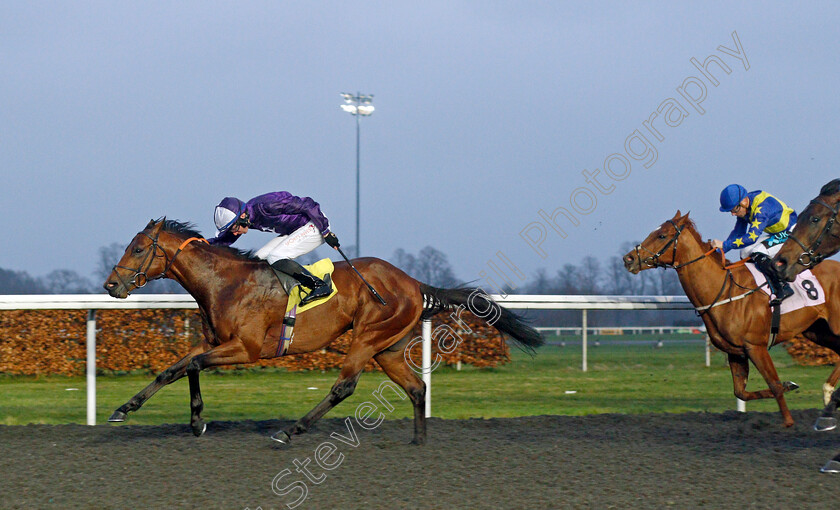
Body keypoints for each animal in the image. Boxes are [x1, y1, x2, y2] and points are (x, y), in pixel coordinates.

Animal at [103, 217, 544, 444]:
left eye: (138, 249)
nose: (111, 285)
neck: (224, 282)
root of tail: (413, 282)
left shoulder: (246, 347)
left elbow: (189, 366)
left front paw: (175, 417)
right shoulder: (215, 342)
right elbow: (177, 368)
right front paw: (145, 412)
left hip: (367, 337)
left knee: (344, 386)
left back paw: (292, 429)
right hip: (387, 347)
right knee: (416, 388)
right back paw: (418, 442)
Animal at [624, 209, 840, 428]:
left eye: (661, 235)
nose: (628, 258)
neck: (724, 290)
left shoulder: (755, 346)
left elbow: (774, 384)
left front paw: (788, 422)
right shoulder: (736, 352)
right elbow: (741, 392)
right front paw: (790, 385)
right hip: (817, 331)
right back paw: (828, 393)